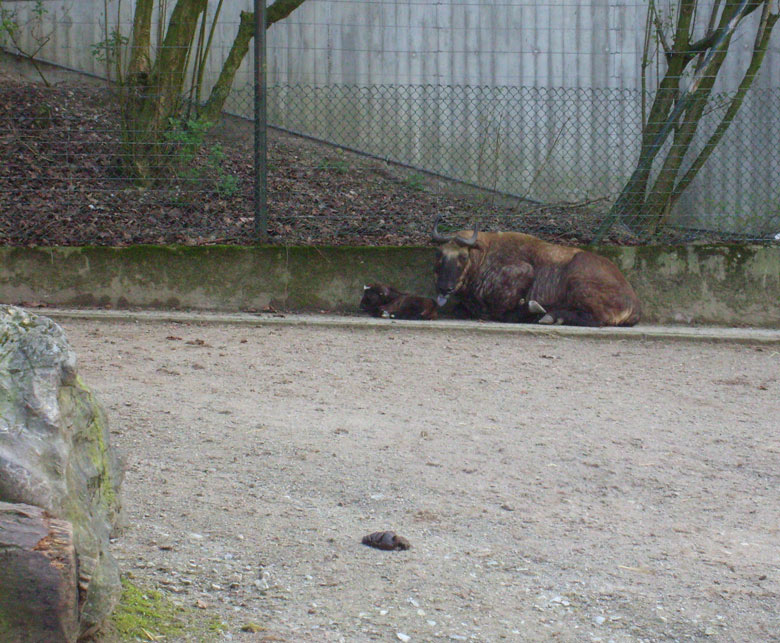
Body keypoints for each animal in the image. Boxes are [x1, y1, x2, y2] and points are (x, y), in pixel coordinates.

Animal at [432, 218, 640, 328]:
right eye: (439, 254)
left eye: (463, 256)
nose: (443, 288)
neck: (484, 256)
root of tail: (633, 302)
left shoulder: (522, 273)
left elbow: (501, 313)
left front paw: (531, 309)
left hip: (578, 281)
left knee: (596, 319)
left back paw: (550, 316)